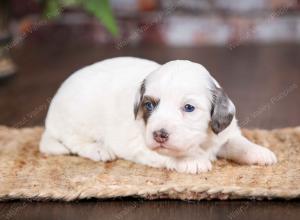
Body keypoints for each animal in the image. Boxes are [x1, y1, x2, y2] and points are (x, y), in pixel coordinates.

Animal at [39, 56, 276, 174]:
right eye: (149, 105)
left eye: (189, 108)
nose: (160, 135)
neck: (200, 141)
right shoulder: (140, 144)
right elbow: (168, 154)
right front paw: (191, 161)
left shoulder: (225, 134)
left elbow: (239, 143)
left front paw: (260, 152)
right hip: (78, 119)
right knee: (73, 141)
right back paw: (97, 149)